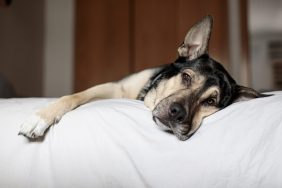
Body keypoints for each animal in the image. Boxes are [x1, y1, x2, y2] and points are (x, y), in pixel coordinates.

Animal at [18, 15, 268, 140]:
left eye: (210, 101)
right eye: (186, 77)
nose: (177, 114)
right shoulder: (114, 88)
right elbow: (74, 96)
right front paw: (40, 117)